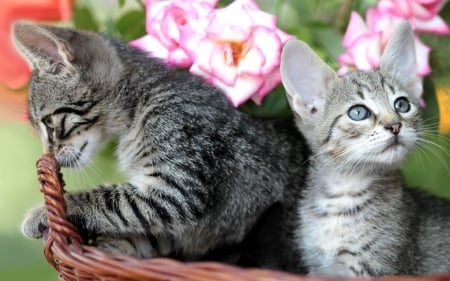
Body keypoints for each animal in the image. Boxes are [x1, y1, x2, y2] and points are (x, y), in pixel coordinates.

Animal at [14, 20, 310, 272]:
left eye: (49, 124)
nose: (49, 154)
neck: (142, 103)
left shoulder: (177, 188)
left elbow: (110, 199)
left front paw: (41, 213)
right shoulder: (172, 226)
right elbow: (143, 234)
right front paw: (108, 249)